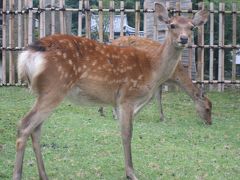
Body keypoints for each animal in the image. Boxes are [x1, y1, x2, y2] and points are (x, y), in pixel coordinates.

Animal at [13, 3, 208, 179]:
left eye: (192, 27)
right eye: (172, 25)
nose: (184, 39)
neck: (152, 69)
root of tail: (28, 54)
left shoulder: (117, 102)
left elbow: (122, 132)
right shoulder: (127, 96)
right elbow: (127, 134)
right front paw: (131, 173)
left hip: (44, 91)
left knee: (36, 128)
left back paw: (43, 175)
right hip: (55, 86)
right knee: (25, 124)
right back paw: (18, 174)